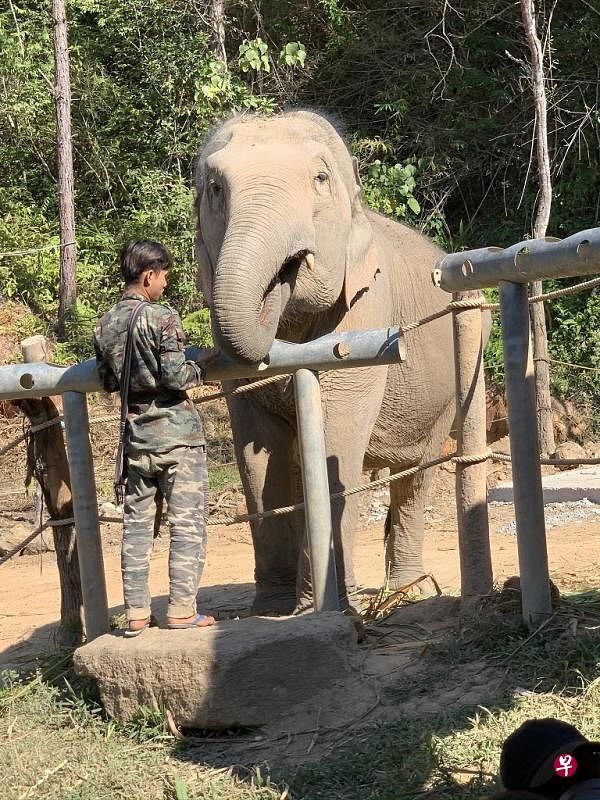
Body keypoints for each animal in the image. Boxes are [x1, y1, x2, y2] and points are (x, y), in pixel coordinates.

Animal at [194, 110, 464, 615]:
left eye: (320, 179)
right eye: (215, 187)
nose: (287, 269)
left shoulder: (365, 312)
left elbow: (335, 435)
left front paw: (322, 606)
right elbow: (258, 452)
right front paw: (272, 610)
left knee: (417, 475)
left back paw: (408, 592)